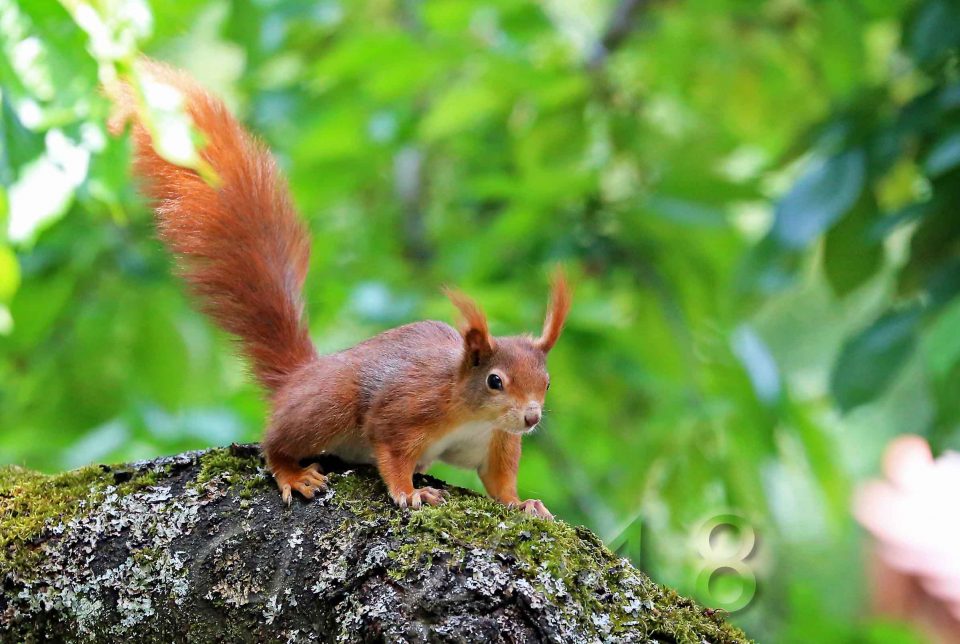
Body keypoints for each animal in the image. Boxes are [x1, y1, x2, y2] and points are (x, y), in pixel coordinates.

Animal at [109, 60, 570, 519]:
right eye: (494, 381)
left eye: (547, 383)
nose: (531, 418)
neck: (471, 412)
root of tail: (300, 378)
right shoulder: (406, 410)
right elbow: (393, 452)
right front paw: (410, 492)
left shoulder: (493, 441)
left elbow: (498, 482)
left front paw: (523, 502)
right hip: (328, 406)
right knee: (275, 444)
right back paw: (292, 472)